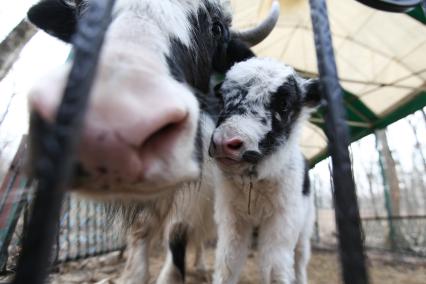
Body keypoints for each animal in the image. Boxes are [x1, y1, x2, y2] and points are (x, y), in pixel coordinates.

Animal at [210, 57, 320, 284]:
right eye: (222, 98)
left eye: (284, 103)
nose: (224, 143)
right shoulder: (230, 218)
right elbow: (227, 264)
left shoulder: (283, 221)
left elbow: (276, 269)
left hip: (305, 226)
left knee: (300, 259)